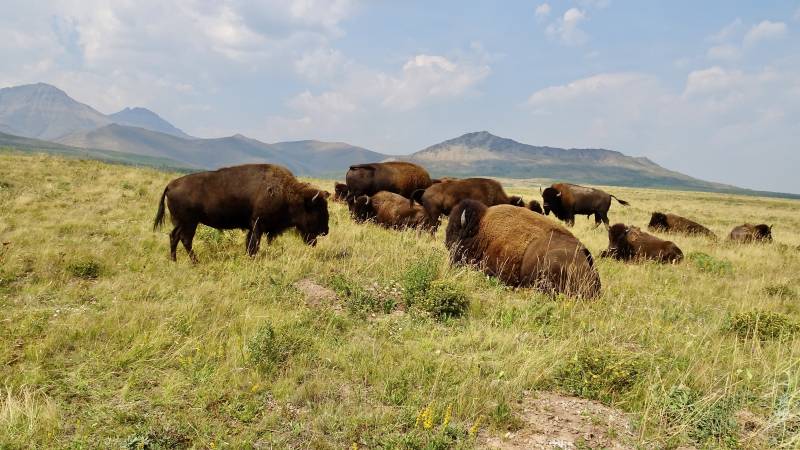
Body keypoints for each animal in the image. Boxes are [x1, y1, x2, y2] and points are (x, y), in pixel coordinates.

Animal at [153, 164, 329, 261]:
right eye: (318, 209)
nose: (325, 231)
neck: (289, 194)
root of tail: (170, 185)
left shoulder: (253, 227)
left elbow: (249, 244)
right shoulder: (258, 225)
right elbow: (253, 245)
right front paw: (251, 258)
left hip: (182, 223)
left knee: (174, 237)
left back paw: (175, 261)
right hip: (189, 223)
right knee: (185, 239)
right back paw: (195, 262)